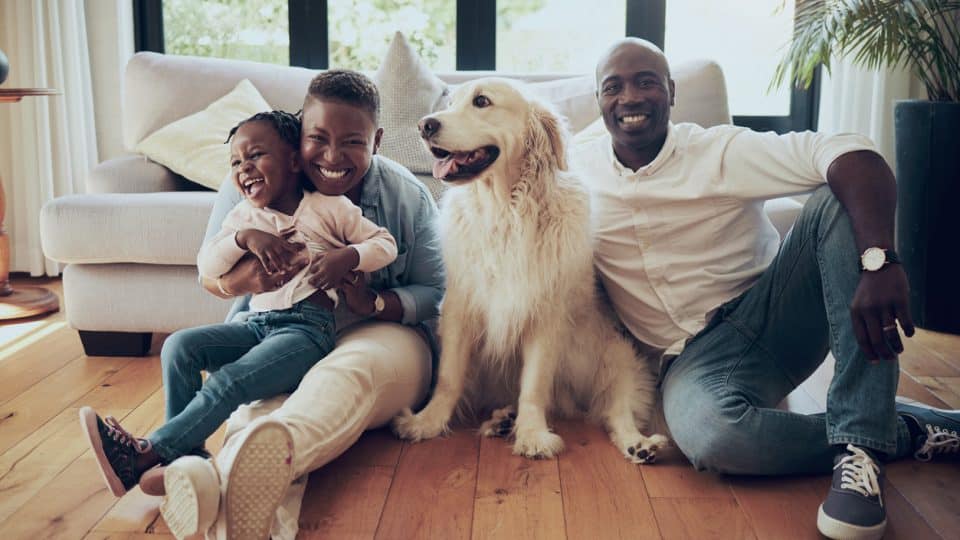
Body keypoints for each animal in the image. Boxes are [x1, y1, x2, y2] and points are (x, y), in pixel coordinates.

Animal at [390, 78, 668, 462]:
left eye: (481, 101)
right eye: (450, 102)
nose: (425, 125)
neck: (505, 209)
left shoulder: (546, 313)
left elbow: (534, 386)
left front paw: (533, 434)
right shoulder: (460, 306)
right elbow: (448, 377)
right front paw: (426, 422)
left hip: (618, 357)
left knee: (617, 412)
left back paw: (639, 445)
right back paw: (501, 420)